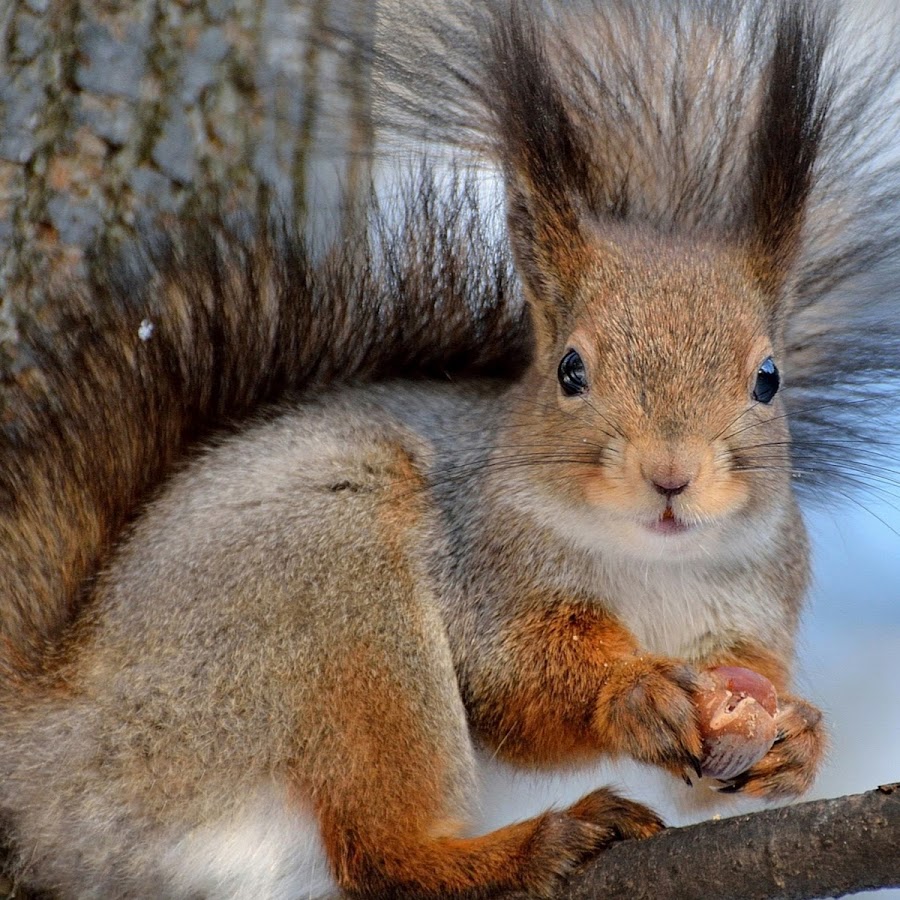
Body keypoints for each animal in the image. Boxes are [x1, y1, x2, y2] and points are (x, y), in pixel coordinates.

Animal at [1, 0, 900, 896]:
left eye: (768, 379)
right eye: (570, 370)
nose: (670, 477)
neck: (653, 566)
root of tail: (56, 749)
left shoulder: (756, 604)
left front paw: (797, 739)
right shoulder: (484, 574)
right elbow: (510, 683)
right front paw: (633, 693)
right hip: (329, 602)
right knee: (379, 853)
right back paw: (527, 849)